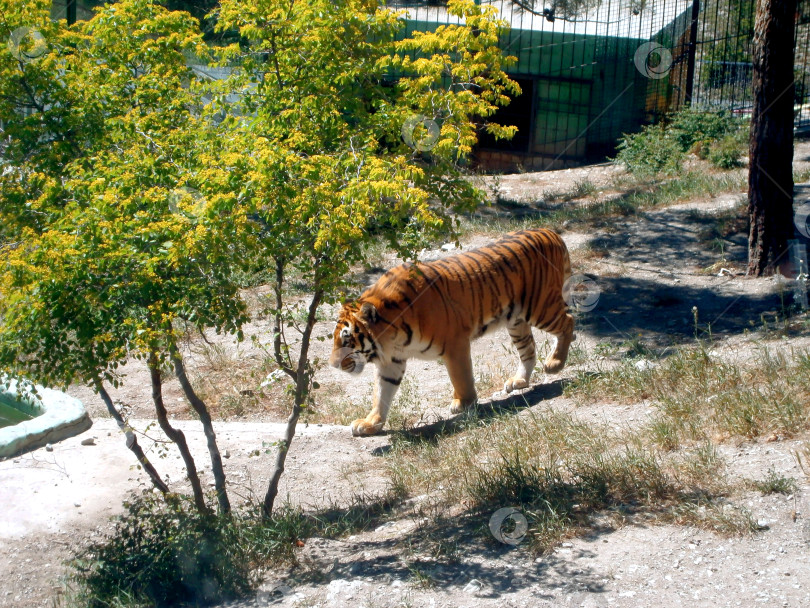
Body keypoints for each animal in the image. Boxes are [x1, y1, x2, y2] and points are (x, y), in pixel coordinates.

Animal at [328, 226, 576, 434]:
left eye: (347, 339)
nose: (332, 365)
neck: (391, 339)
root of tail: (551, 232)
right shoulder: (392, 362)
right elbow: (381, 393)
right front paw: (370, 423)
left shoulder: (455, 343)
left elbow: (461, 376)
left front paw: (464, 403)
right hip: (516, 320)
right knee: (529, 349)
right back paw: (519, 380)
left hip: (540, 307)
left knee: (568, 322)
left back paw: (555, 363)